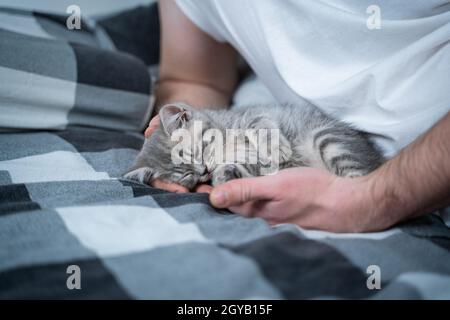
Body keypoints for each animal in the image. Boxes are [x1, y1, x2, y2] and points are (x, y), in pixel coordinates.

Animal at [123, 102, 384, 190]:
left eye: (199, 152)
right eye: (187, 176)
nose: (204, 171)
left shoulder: (254, 114)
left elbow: (260, 125)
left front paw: (277, 149)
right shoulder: (252, 165)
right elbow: (242, 166)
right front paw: (222, 176)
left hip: (327, 137)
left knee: (358, 176)